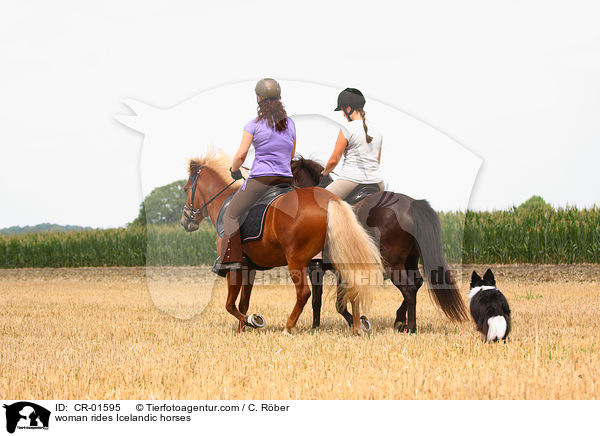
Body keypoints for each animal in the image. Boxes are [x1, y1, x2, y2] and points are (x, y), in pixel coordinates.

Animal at [180, 152, 382, 336]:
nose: (185, 221)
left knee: (303, 293)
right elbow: (243, 302)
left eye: (186, 189)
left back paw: (289, 327)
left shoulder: (234, 266)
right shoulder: (248, 267)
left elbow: (230, 304)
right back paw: (357, 327)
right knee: (352, 285)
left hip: (297, 261)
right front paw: (242, 330)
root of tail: (329, 200)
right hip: (338, 258)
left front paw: (253, 320)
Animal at [290, 158, 468, 332]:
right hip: (410, 260)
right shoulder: (342, 269)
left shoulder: (316, 267)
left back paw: (410, 327)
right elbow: (339, 303)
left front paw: (317, 327)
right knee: (417, 283)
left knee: (409, 289)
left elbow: (319, 301)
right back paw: (399, 321)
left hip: (393, 264)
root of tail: (411, 204)